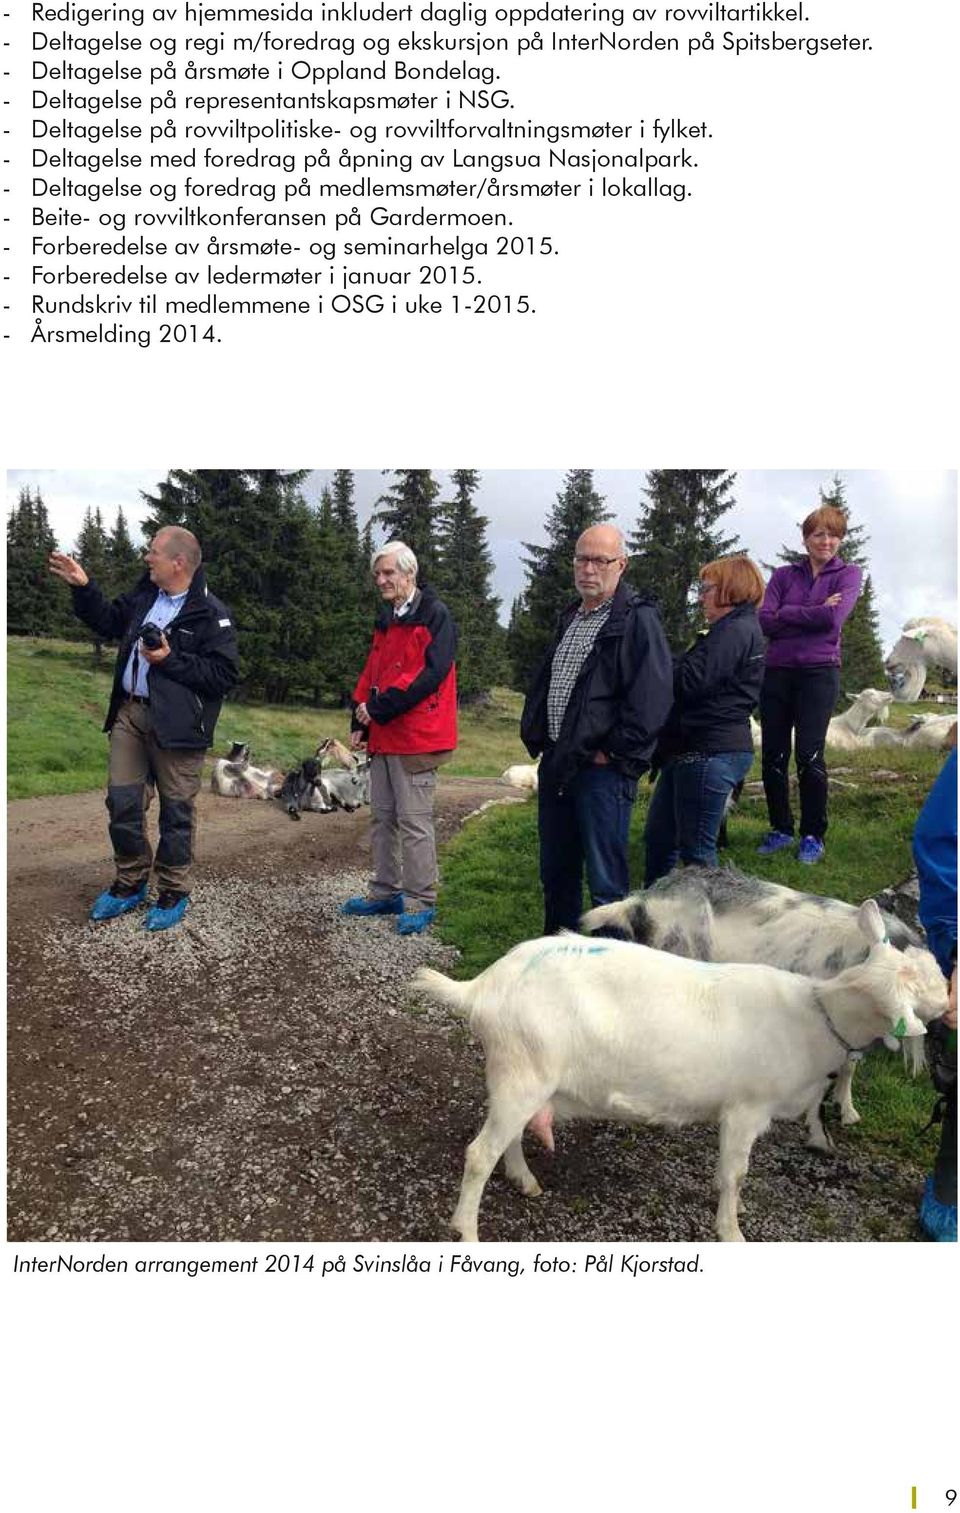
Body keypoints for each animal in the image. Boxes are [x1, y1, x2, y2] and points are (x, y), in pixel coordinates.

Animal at [414, 907, 949, 1240]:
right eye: (921, 984)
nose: (949, 1003)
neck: (814, 1015)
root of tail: (483, 986)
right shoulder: (745, 1108)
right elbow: (736, 1173)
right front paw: (732, 1230)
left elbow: (728, 1173)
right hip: (522, 1072)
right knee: (479, 1154)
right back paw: (467, 1232)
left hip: (524, 1075)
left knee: (508, 1139)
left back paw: (524, 1181)